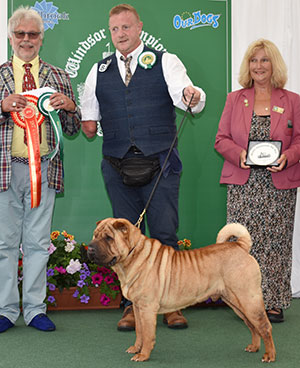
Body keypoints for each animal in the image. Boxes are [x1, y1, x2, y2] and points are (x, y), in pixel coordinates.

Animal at [86, 217, 274, 364]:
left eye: (108, 238)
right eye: (95, 235)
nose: (90, 248)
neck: (133, 254)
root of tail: (240, 246)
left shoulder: (147, 309)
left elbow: (147, 334)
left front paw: (143, 355)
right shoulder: (138, 308)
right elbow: (139, 331)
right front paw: (135, 348)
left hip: (248, 300)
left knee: (264, 326)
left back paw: (269, 355)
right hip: (237, 303)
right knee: (253, 327)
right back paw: (253, 347)